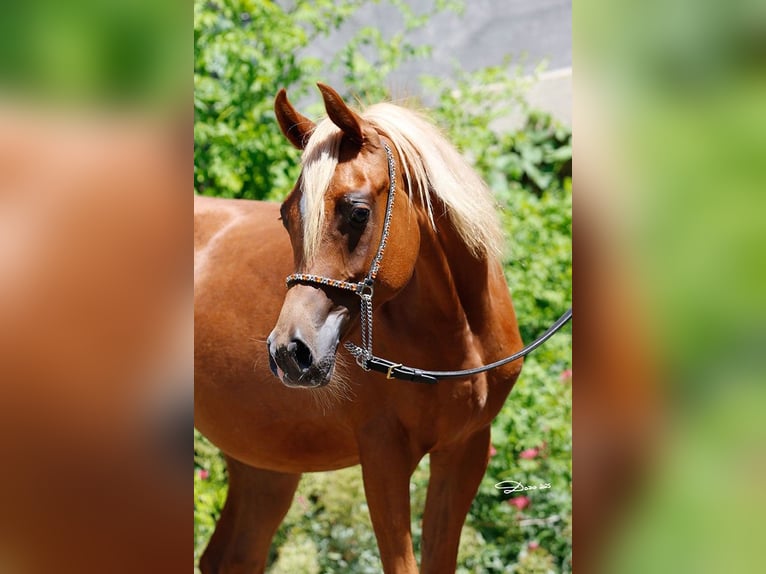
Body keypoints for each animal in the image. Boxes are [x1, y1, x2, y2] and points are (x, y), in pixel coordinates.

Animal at [194, 83, 524, 573]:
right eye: (287, 216)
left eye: (357, 213)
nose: (290, 352)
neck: (458, 340)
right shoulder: (383, 454)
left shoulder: (465, 449)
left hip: (263, 463)